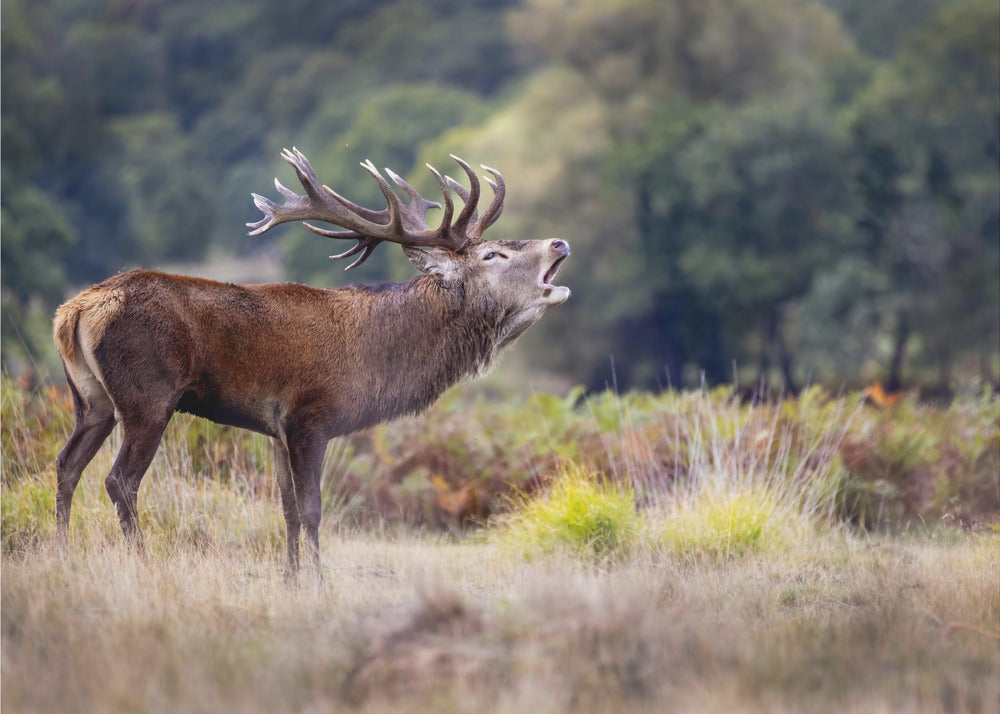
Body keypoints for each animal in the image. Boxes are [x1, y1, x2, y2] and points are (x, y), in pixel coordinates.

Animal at [53, 148, 570, 576]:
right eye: (493, 254)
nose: (560, 244)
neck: (378, 358)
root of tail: (74, 311)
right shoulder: (309, 417)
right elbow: (311, 509)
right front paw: (320, 581)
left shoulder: (275, 428)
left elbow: (285, 509)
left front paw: (291, 578)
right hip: (148, 397)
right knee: (119, 480)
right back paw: (140, 559)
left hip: (91, 401)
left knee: (66, 464)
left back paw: (62, 554)